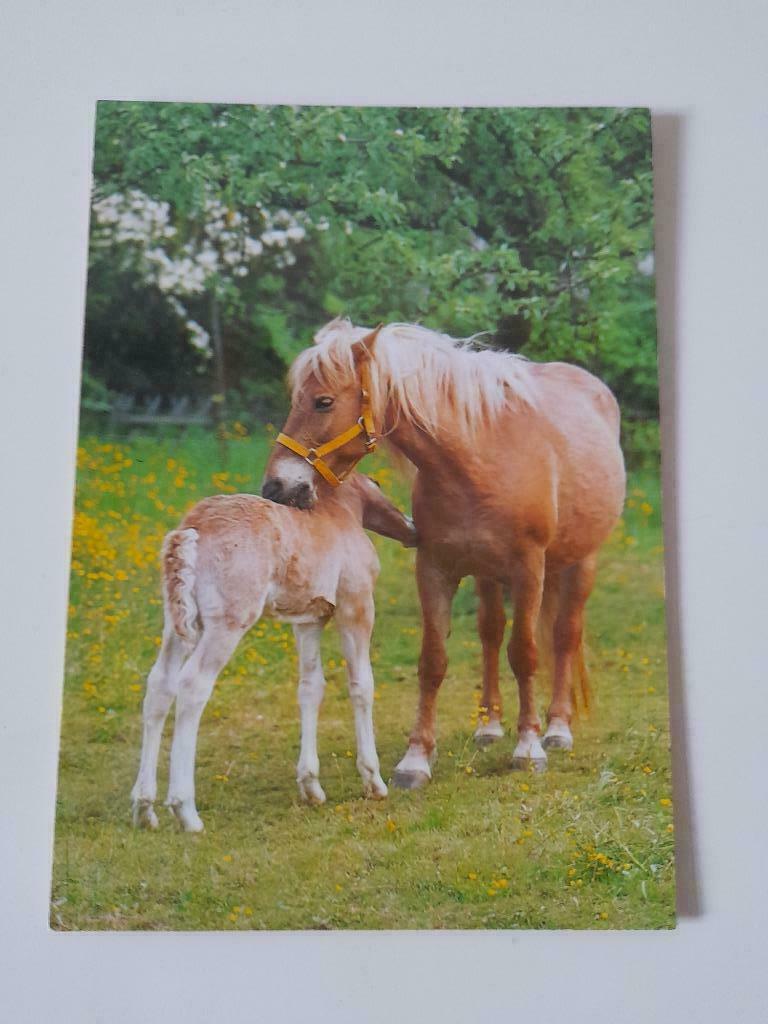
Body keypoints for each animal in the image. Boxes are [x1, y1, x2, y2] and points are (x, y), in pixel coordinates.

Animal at [131, 472, 418, 832]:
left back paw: (144, 809)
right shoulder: (357, 605)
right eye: (377, 485)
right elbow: (361, 686)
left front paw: (311, 787)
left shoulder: (308, 619)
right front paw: (374, 782)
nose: (413, 529)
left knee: (160, 685)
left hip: (177, 624)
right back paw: (186, 811)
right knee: (192, 686)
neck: (341, 515)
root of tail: (191, 530)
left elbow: (310, 688)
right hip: (227, 623)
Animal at [262, 318, 626, 788]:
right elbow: (433, 661)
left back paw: (558, 728)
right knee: (491, 633)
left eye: (323, 402)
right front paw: (416, 759)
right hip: (488, 574)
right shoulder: (434, 569)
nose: (276, 487)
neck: (478, 458)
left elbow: (525, 654)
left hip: (580, 562)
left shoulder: (529, 570)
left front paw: (528, 747)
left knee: (565, 634)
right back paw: (489, 725)